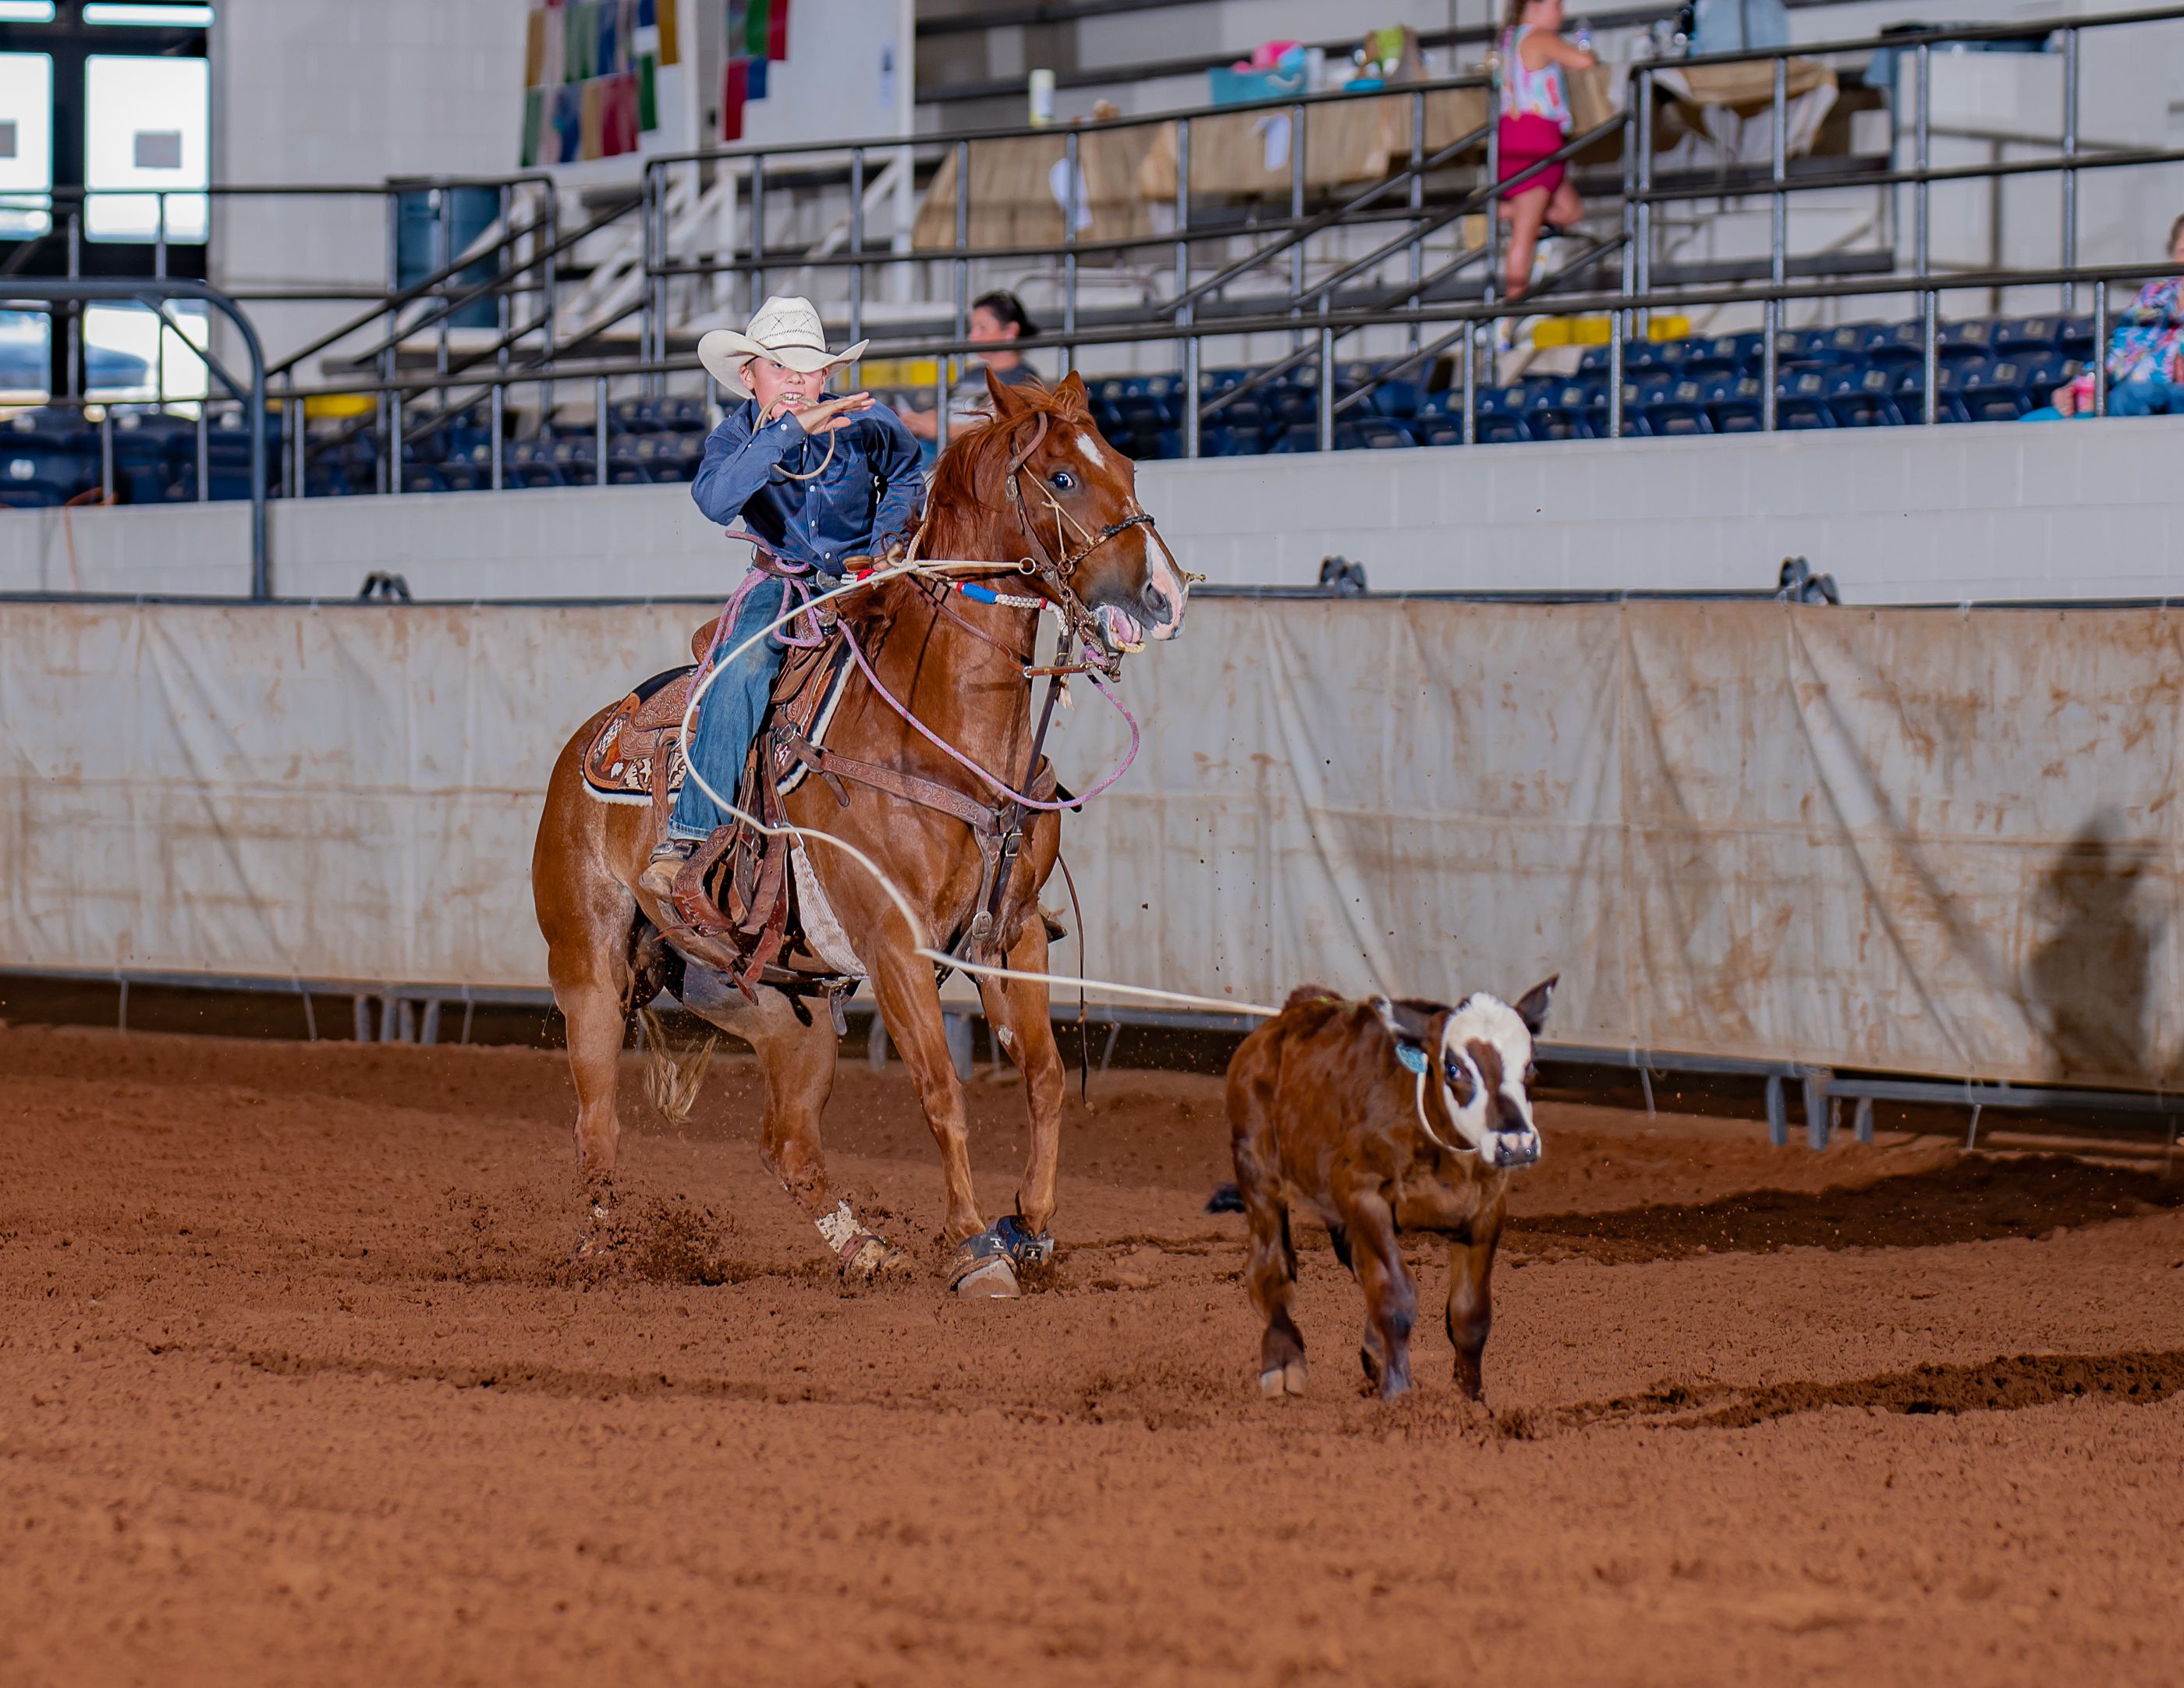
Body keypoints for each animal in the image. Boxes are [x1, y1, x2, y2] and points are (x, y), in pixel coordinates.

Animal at [531, 370, 1189, 1292]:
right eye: (1061, 477)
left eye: (1127, 464)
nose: (1166, 594)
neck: (938, 731)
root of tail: (595, 734)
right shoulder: (895, 944)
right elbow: (940, 1088)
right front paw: (973, 1245)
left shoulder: (1013, 933)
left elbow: (1046, 1077)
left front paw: (1028, 1225)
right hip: (589, 971)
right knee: (597, 1127)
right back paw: (601, 1254)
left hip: (788, 1005)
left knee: (787, 1144)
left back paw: (867, 1249)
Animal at [1215, 979, 1556, 1402]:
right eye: (1454, 1067)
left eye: (1531, 1065)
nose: (1516, 1143)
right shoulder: (1363, 1197)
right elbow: (1395, 1299)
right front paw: (1399, 1396)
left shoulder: (1486, 1212)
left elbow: (1470, 1315)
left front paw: (1471, 1400)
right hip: (1256, 1170)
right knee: (1271, 1267)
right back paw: (1282, 1362)